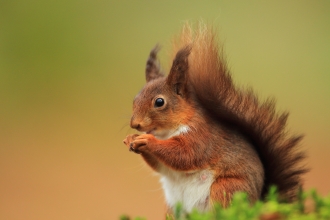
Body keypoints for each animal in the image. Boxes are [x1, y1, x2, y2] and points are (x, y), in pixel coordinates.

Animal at [123, 23, 306, 213]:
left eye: (159, 102)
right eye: (135, 99)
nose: (134, 124)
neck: (167, 132)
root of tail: (257, 202)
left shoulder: (201, 136)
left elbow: (184, 154)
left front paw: (147, 141)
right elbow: (159, 164)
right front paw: (131, 138)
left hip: (226, 188)